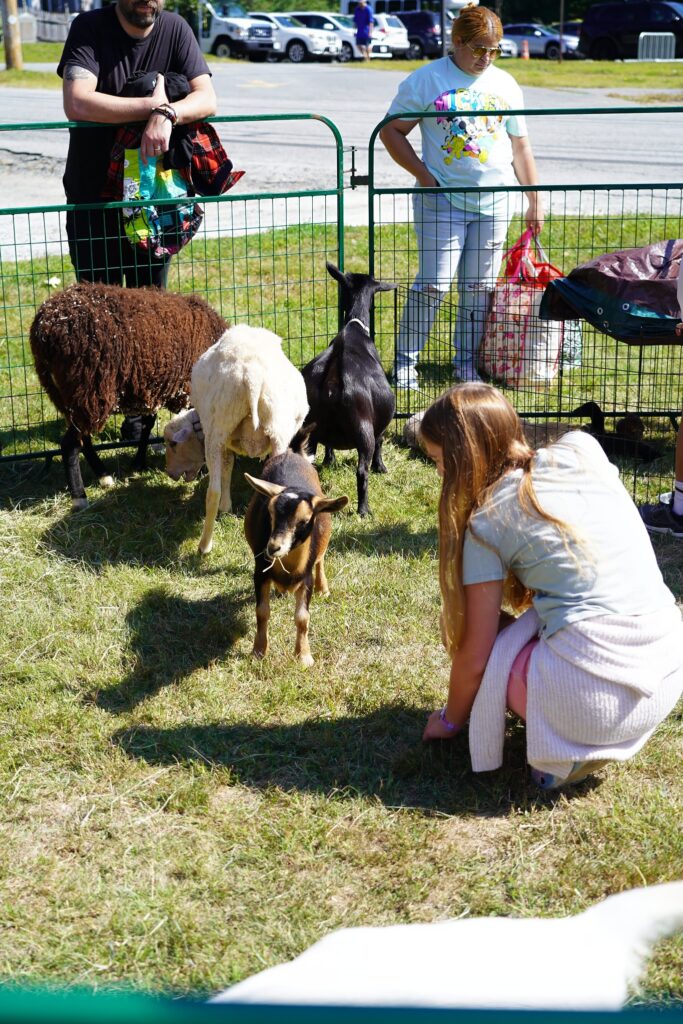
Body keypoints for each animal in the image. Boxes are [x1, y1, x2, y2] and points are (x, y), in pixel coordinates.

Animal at [29, 282, 227, 509]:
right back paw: (79, 497)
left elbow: (148, 424)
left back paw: (103, 476)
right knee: (70, 445)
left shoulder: (153, 389)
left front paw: (139, 462)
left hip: (71, 396)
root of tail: (46, 326)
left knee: (82, 438)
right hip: (88, 388)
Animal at [164, 324, 309, 556]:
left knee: (213, 491)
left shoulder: (226, 442)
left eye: (172, 444)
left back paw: (204, 546)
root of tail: (252, 377)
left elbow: (228, 467)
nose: (169, 472)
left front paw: (226, 507)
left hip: (218, 428)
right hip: (278, 432)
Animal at [244, 434, 348, 667]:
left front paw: (304, 656)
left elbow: (302, 617)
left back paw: (323, 588)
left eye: (304, 521)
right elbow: (262, 611)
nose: (273, 547)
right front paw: (258, 651)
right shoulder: (260, 571)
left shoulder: (305, 577)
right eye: (270, 513)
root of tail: (293, 452)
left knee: (321, 560)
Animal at [292, 262, 396, 517]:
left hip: (309, 425)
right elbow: (380, 442)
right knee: (362, 471)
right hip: (363, 430)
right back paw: (364, 510)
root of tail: (335, 373)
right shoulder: (378, 427)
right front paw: (381, 467)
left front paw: (330, 460)